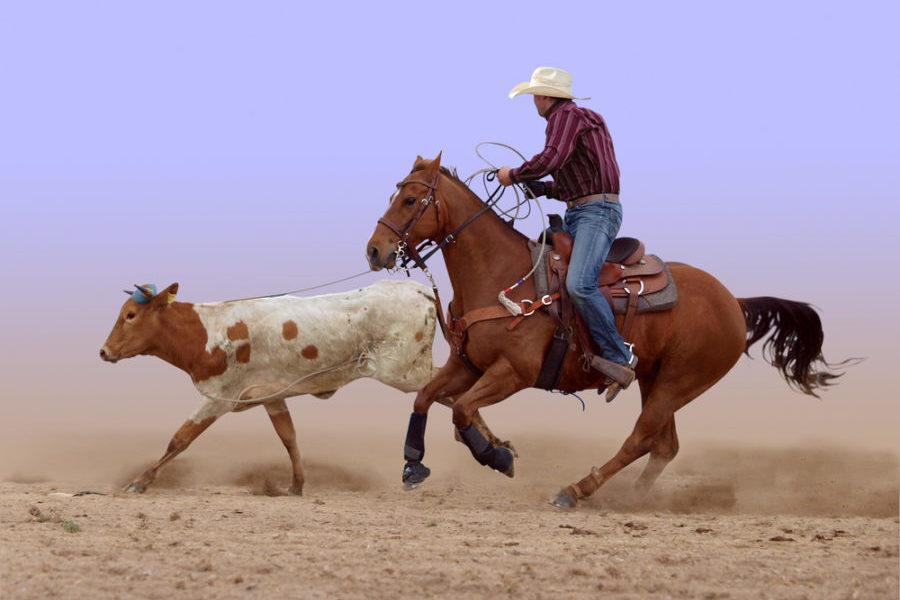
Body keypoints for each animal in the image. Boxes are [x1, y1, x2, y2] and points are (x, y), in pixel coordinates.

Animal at [101, 278, 510, 494]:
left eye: (130, 315)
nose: (104, 351)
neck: (206, 331)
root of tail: (417, 287)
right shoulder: (271, 396)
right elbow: (289, 438)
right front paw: (296, 485)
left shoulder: (219, 397)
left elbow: (179, 439)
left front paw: (139, 482)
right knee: (451, 392)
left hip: (403, 370)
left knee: (448, 391)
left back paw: (491, 445)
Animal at [362, 152, 848, 508]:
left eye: (410, 200)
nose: (374, 250)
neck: (504, 275)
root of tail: (734, 302)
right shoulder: (468, 365)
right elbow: (428, 397)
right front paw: (413, 465)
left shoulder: (513, 372)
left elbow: (461, 410)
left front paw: (498, 456)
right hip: (655, 378)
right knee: (665, 445)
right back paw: (634, 498)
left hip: (679, 382)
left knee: (642, 438)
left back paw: (577, 490)